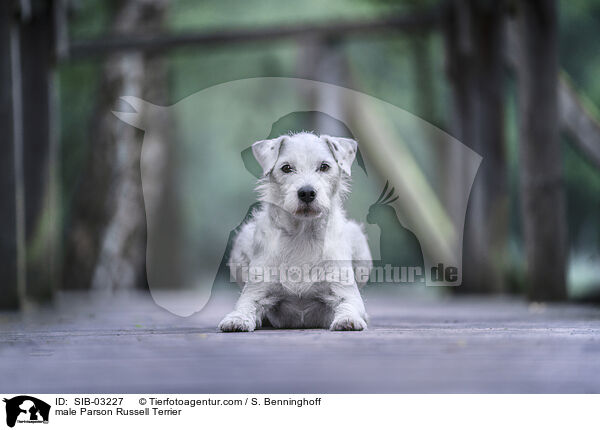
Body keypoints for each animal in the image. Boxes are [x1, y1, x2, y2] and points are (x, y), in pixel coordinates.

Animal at [218, 133, 372, 330]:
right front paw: (237, 319)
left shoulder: (345, 291)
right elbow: (245, 306)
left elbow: (349, 305)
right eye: (286, 168)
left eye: (324, 166)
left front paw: (348, 320)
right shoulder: (255, 291)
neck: (302, 233)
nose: (306, 193)